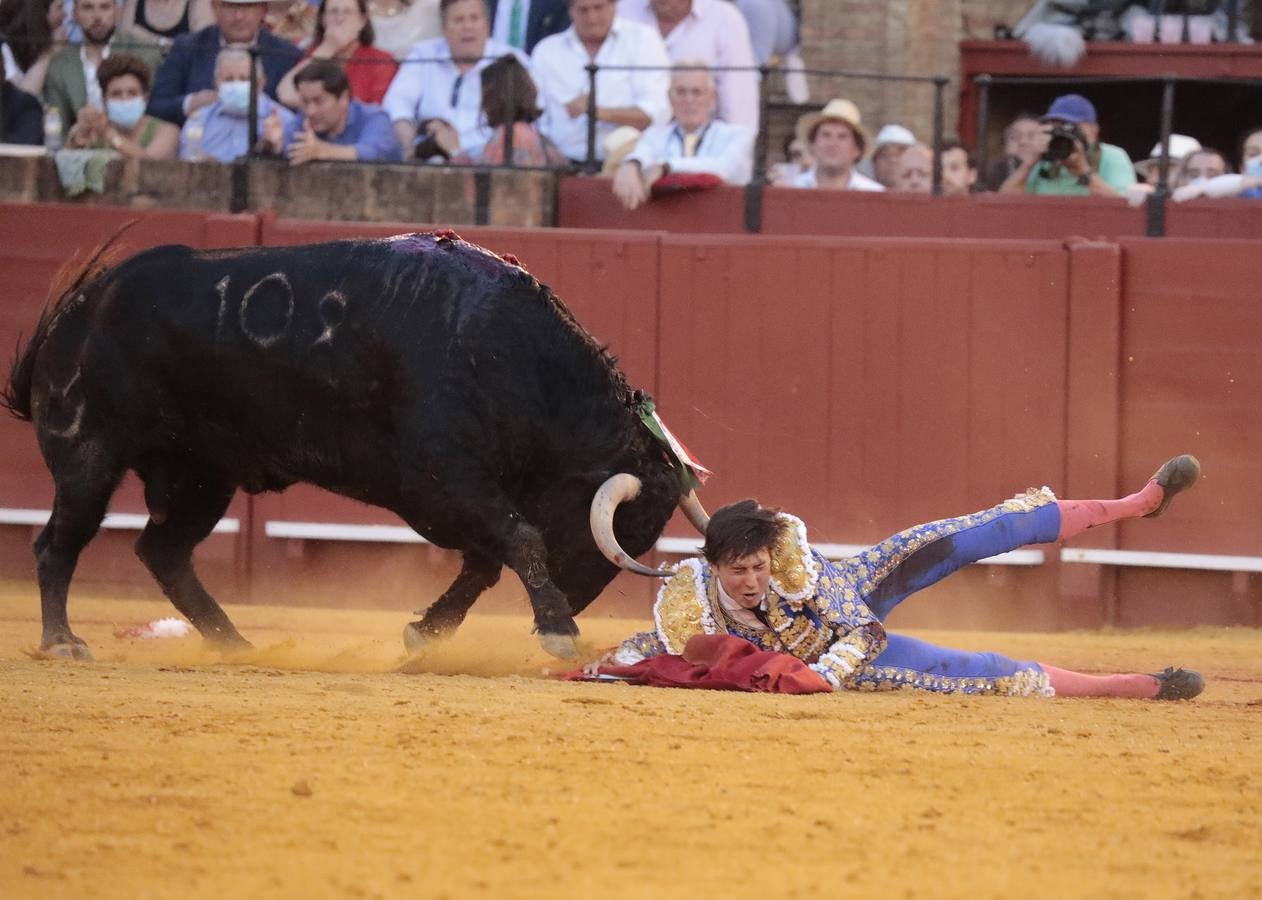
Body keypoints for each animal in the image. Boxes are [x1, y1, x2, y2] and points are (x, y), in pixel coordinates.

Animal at [0, 229, 696, 661]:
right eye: (614, 532)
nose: (574, 601)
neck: (506, 354)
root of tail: (80, 307)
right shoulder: (442, 478)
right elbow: (516, 540)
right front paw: (558, 630)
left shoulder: (461, 491)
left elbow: (487, 557)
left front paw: (426, 632)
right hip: (90, 456)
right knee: (58, 543)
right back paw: (64, 642)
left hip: (200, 474)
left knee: (163, 551)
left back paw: (235, 643)